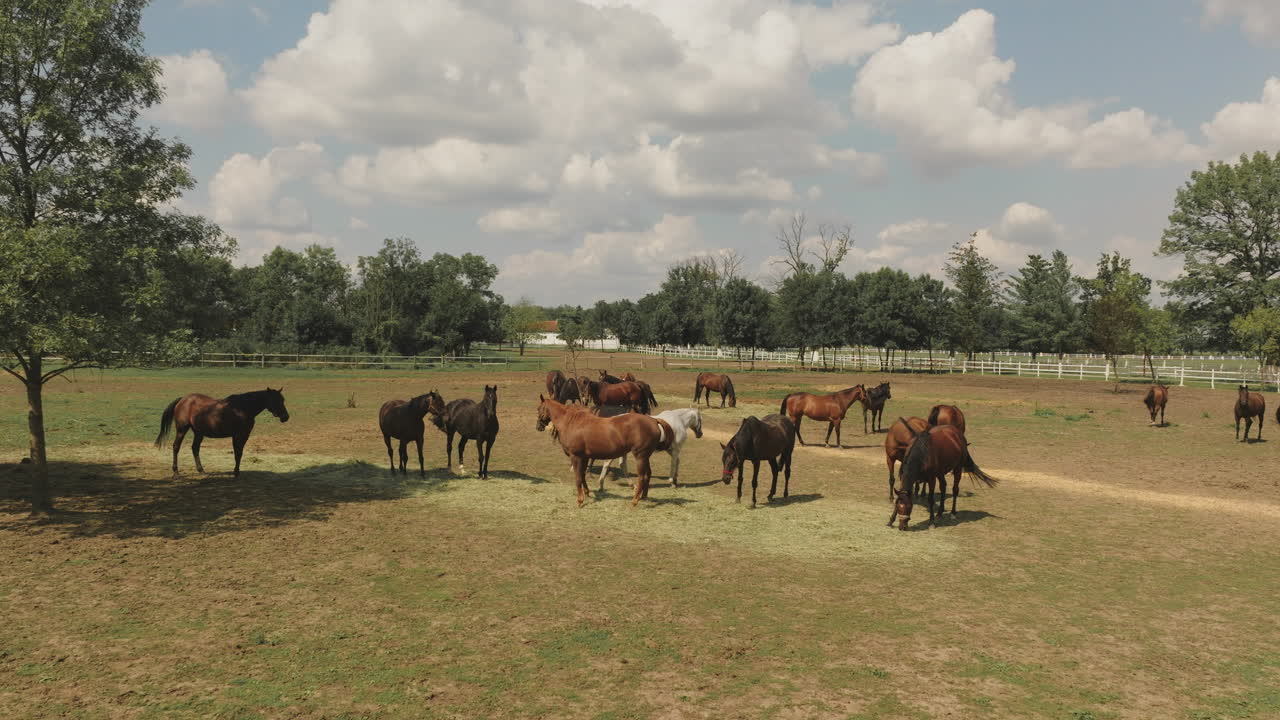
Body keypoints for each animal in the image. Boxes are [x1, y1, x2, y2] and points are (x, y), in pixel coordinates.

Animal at [155, 388, 290, 477]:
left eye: (283, 400)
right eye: (275, 400)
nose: (285, 417)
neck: (242, 408)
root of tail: (183, 399)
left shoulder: (244, 435)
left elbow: (239, 453)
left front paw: (237, 471)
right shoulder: (238, 435)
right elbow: (238, 453)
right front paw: (236, 472)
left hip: (198, 432)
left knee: (195, 448)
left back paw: (201, 470)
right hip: (182, 429)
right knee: (176, 447)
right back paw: (176, 471)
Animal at [536, 396, 671, 507]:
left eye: (538, 409)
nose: (538, 426)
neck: (571, 422)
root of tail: (654, 421)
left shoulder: (576, 456)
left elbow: (578, 478)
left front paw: (580, 500)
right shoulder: (584, 457)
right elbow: (583, 475)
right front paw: (587, 493)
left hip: (640, 456)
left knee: (642, 477)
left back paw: (634, 501)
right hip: (645, 456)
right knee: (648, 474)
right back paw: (643, 497)